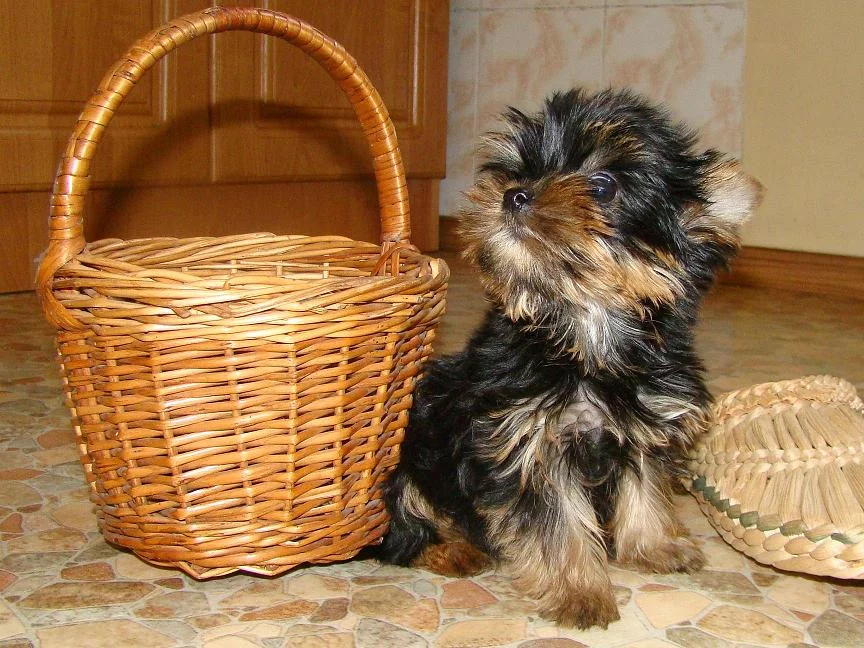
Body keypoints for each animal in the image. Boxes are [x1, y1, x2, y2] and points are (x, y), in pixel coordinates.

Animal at [378, 88, 762, 629]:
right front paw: (580, 592)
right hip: (410, 446)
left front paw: (655, 546)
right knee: (403, 524)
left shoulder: (646, 425)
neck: (584, 339)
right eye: (521, 170)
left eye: (603, 186)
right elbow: (560, 525)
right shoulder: (530, 444)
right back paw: (451, 549)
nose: (514, 194)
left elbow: (646, 489)